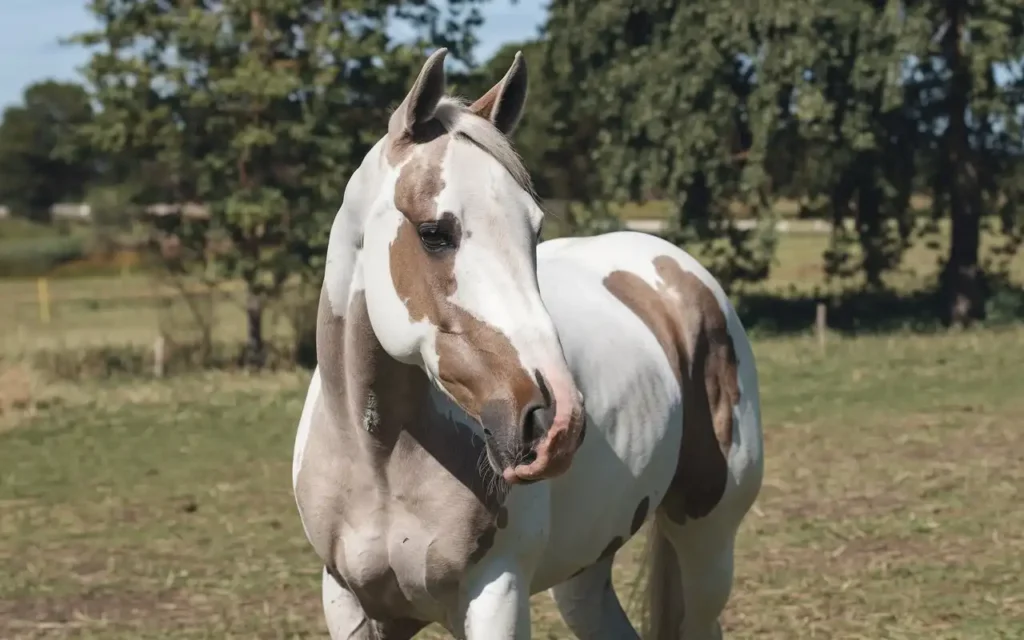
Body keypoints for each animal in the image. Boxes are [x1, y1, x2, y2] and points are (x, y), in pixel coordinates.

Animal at [292, 47, 765, 634]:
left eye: (534, 229)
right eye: (433, 233)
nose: (556, 422)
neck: (377, 462)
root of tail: (682, 272)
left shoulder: (497, 593)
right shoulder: (348, 601)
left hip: (707, 542)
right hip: (588, 566)